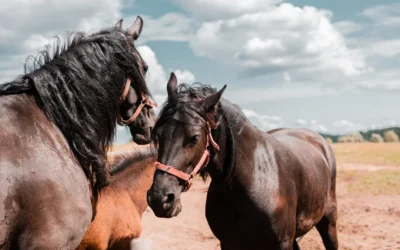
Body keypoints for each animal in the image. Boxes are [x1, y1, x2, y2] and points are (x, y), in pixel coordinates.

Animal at [146, 73, 338, 250]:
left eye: (194, 138)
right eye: (157, 134)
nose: (159, 199)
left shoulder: (282, 244)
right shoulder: (229, 244)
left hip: (329, 220)